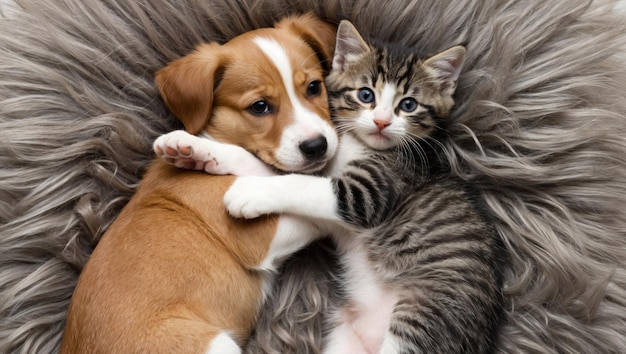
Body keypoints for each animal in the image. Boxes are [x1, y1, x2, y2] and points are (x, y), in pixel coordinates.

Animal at [59, 13, 336, 354]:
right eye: (259, 107)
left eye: (314, 87)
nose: (317, 146)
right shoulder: (261, 239)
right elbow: (297, 187)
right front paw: (199, 153)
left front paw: (198, 153)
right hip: (212, 344)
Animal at [158, 20, 504, 354]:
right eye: (366, 95)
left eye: (408, 105)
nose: (381, 122)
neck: (357, 143)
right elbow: (264, 165)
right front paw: (194, 150)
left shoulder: (367, 194)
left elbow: (301, 183)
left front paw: (248, 193)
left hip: (425, 314)